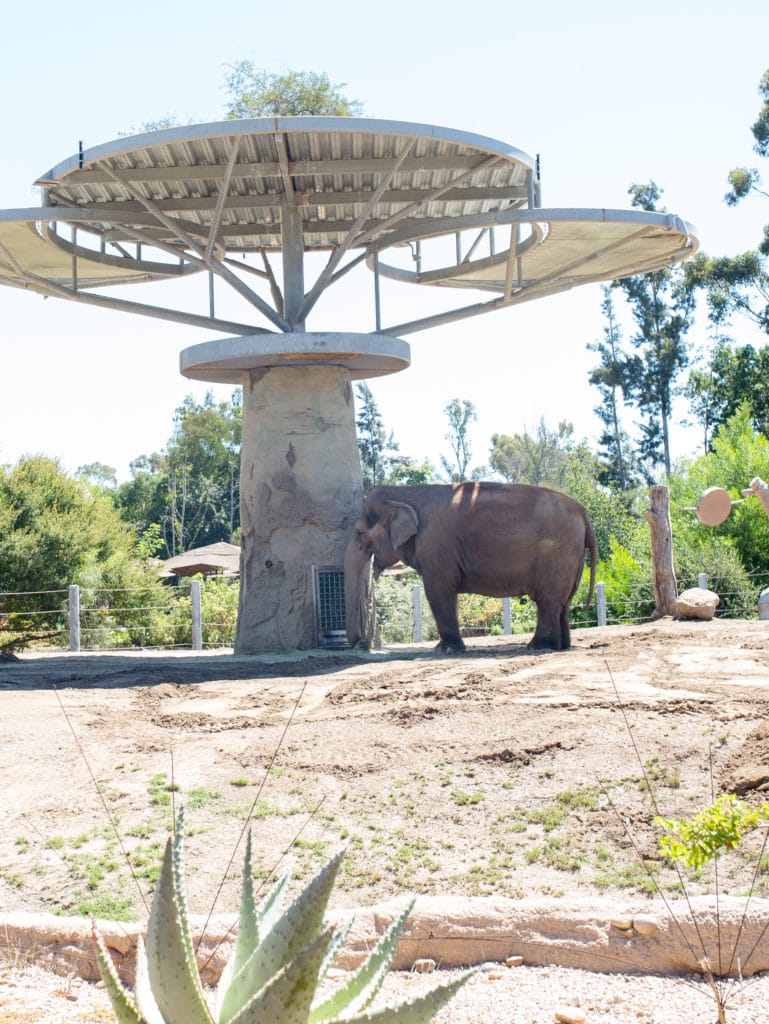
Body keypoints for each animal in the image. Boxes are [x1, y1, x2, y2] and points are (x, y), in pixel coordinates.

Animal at [346, 481, 597, 655]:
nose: (363, 643)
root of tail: (583, 511)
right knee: (563, 602)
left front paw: (445, 650)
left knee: (548, 600)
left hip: (557, 552)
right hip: (570, 556)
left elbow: (438, 590)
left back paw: (538, 647)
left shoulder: (436, 544)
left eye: (359, 534)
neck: (406, 492)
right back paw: (560, 646)